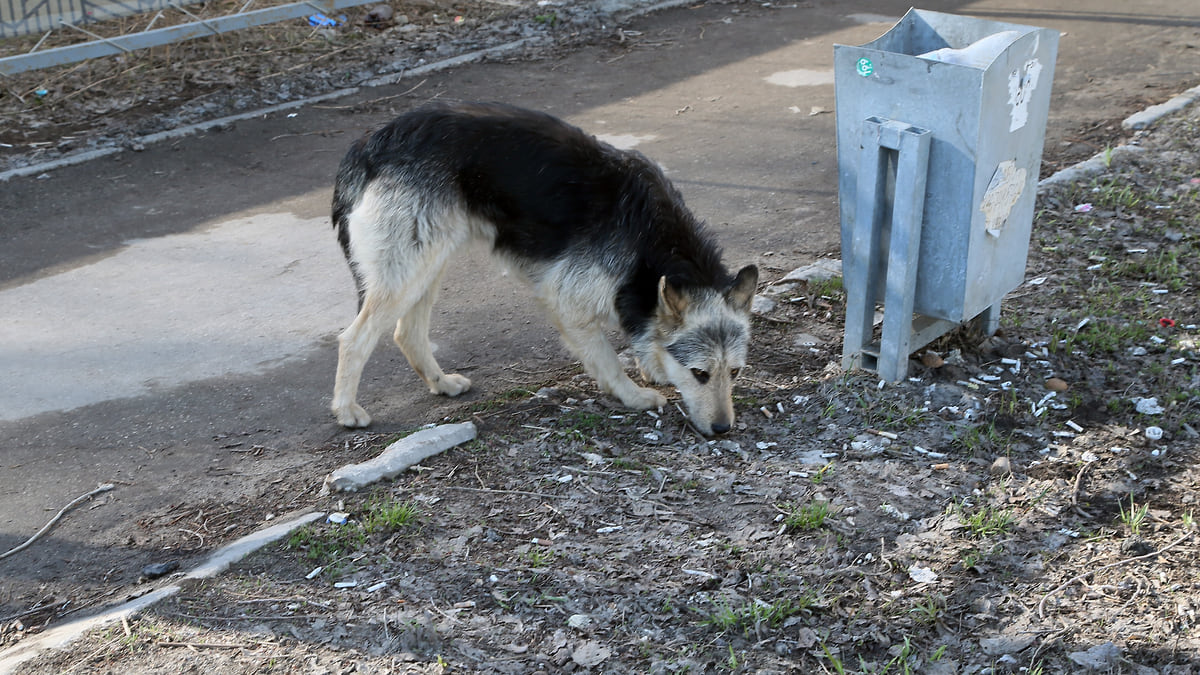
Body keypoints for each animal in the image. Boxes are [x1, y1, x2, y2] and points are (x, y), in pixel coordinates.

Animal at [328, 102, 758, 432]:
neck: (651, 238)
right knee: (354, 339)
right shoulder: (566, 301)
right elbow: (606, 359)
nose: (723, 429)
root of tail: (369, 144)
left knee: (407, 333)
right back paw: (347, 410)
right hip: (408, 271)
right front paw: (633, 395)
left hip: (427, 265)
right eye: (700, 374)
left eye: (735, 373)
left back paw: (441, 383)